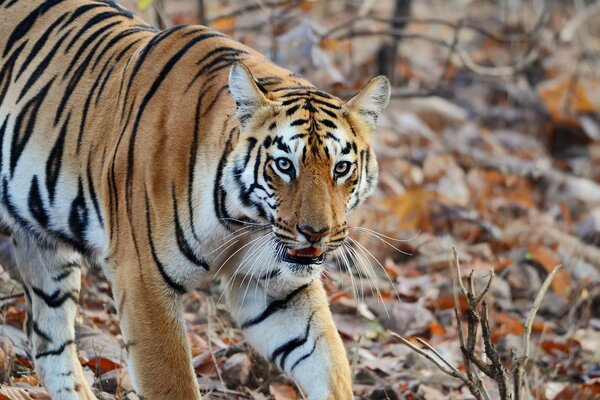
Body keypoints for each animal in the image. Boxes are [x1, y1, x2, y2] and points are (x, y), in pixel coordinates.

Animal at [0, 0, 392, 398]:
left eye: (341, 168)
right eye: (284, 165)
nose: (316, 233)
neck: (243, 222)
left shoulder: (277, 290)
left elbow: (329, 363)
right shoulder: (142, 281)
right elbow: (173, 383)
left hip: (46, 254)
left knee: (48, 344)